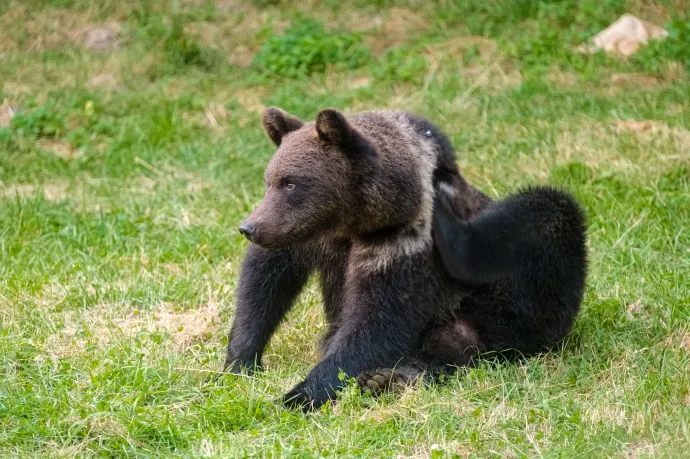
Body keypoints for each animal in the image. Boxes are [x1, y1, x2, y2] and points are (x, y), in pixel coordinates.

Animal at [222, 107, 584, 410]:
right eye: (270, 180)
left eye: (291, 182)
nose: (249, 227)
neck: (357, 222)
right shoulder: (307, 237)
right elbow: (265, 281)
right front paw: (238, 363)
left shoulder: (401, 247)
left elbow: (377, 323)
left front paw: (296, 395)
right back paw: (389, 378)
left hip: (515, 298)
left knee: (543, 215)